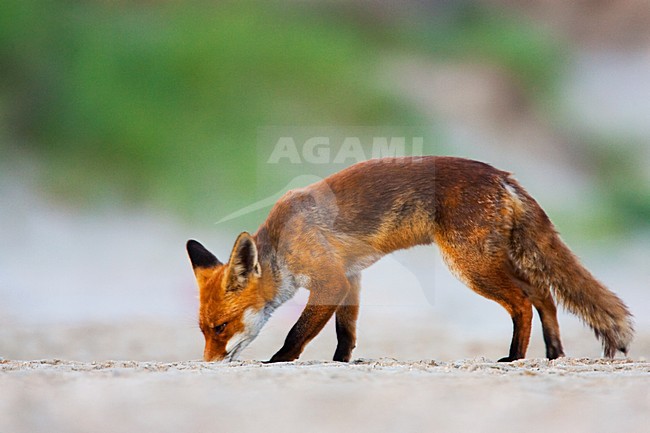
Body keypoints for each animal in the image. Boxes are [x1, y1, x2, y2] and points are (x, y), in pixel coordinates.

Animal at [186, 156, 633, 363]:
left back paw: (515, 356)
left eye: (221, 327)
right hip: (495, 260)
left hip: (470, 266)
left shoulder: (330, 280)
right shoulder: (351, 277)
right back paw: (553, 352)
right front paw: (342, 362)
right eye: (203, 330)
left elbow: (297, 333)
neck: (283, 240)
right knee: (544, 293)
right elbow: (346, 333)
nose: (208, 364)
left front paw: (279, 362)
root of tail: (501, 175)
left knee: (524, 301)